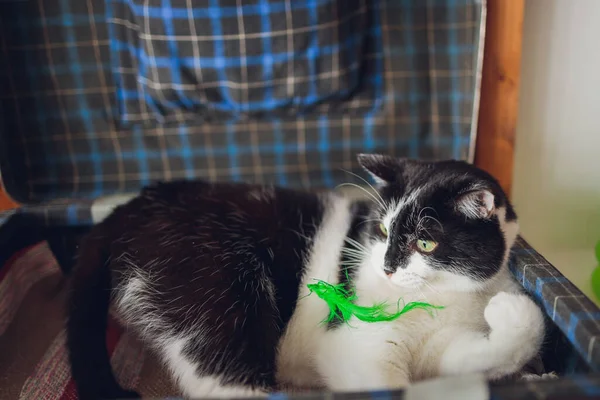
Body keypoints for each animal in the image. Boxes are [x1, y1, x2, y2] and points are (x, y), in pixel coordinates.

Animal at [68, 155, 548, 398]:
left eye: (425, 243)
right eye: (383, 230)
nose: (387, 267)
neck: (442, 298)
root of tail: (129, 208)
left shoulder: (442, 347)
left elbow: (482, 350)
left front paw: (509, 313)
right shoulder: (354, 346)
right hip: (217, 290)